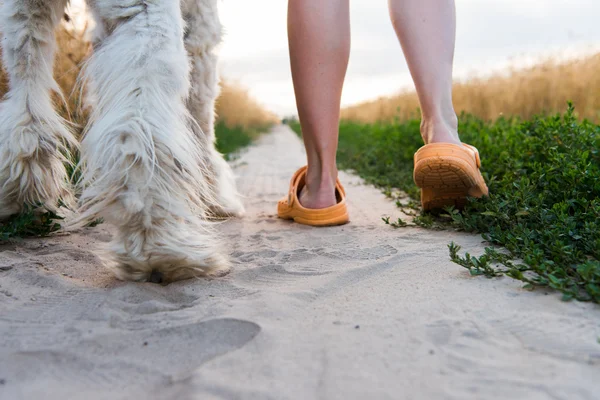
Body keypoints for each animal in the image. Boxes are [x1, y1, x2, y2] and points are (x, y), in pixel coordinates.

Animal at [0, 1, 244, 284]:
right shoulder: (202, 22)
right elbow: (201, 108)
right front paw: (216, 197)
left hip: (25, 15)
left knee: (26, 91)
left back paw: (26, 202)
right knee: (142, 101)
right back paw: (156, 245)